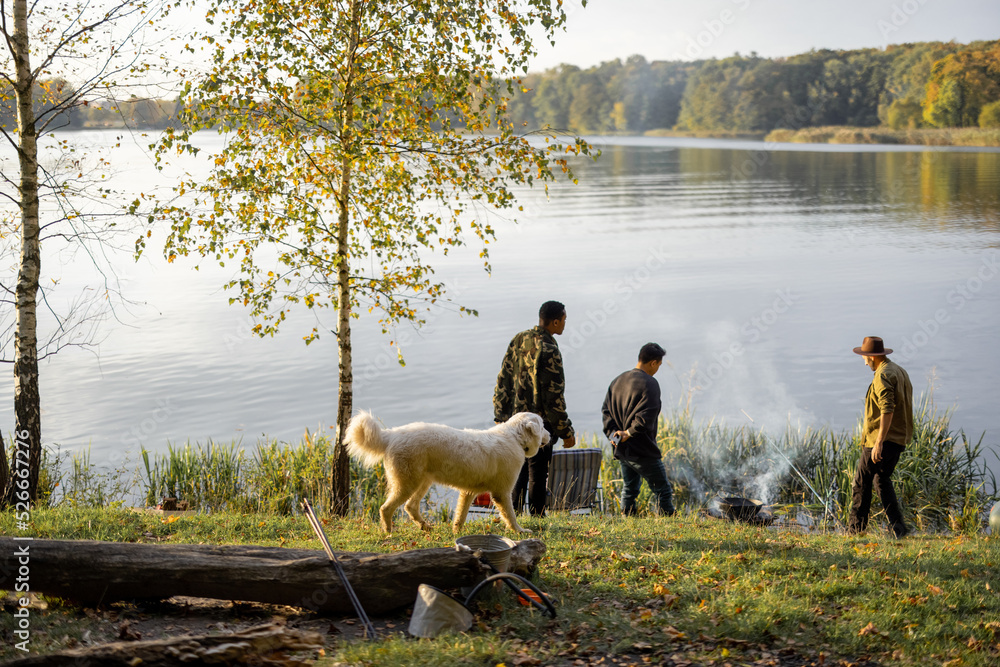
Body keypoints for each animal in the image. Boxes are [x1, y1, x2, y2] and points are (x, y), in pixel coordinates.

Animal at [342, 410, 548, 536]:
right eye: (543, 425)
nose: (551, 435)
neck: (515, 437)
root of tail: (391, 435)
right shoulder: (502, 493)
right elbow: (510, 516)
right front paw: (520, 531)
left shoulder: (468, 492)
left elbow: (460, 515)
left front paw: (456, 533)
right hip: (407, 483)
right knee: (386, 508)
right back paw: (388, 531)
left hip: (422, 482)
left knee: (410, 507)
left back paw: (425, 527)